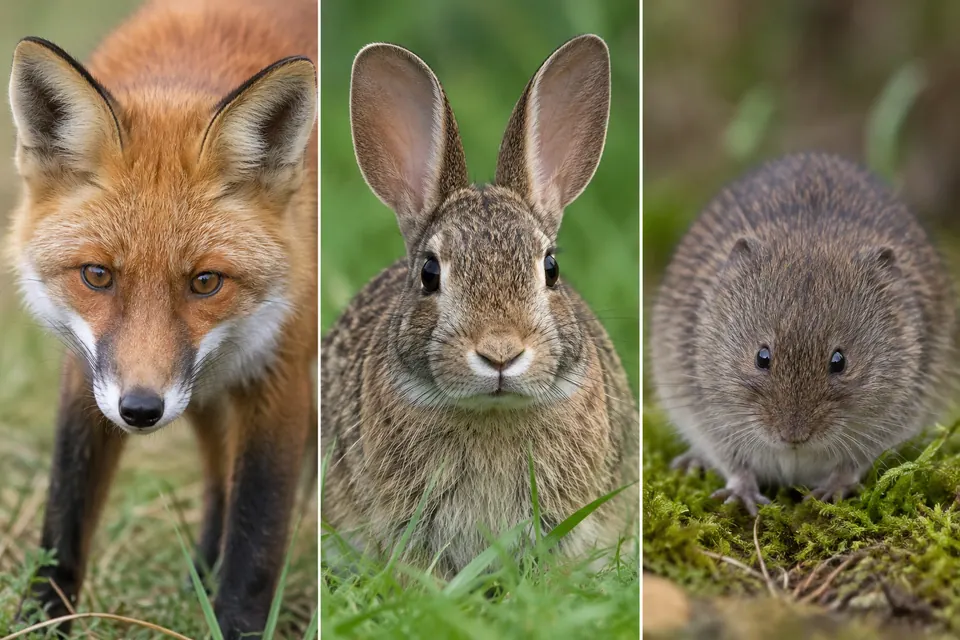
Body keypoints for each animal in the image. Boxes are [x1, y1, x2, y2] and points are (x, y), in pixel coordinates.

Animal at [5, 0, 317, 637]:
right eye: (97, 275)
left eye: (205, 282)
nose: (141, 411)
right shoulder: (90, 375)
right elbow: (64, 517)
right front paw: (39, 620)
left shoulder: (281, 373)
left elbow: (257, 536)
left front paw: (235, 623)